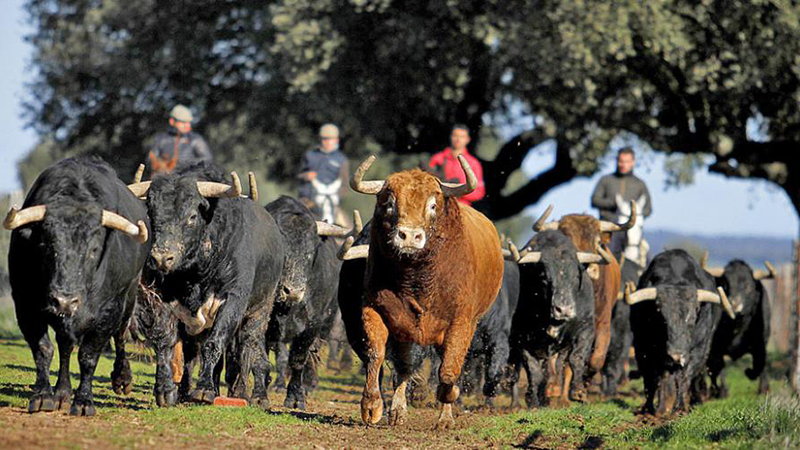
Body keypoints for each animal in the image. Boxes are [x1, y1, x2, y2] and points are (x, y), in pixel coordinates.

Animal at [346, 155, 504, 428]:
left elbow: (448, 371)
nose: (409, 236)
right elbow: (376, 354)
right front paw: (372, 406)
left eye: (432, 205)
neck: (417, 282)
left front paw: (448, 404)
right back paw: (398, 411)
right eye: (390, 203)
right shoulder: (375, 309)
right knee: (404, 367)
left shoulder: (461, 322)